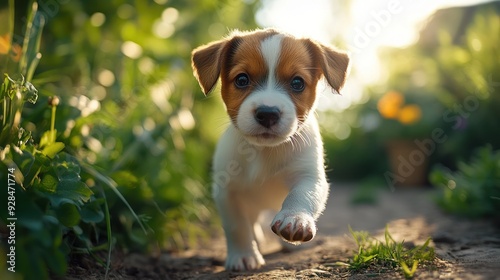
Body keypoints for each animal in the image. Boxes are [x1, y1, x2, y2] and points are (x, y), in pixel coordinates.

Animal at [191, 29, 352, 272]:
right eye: (242, 79)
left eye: (297, 83)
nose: (268, 113)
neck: (265, 151)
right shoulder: (226, 191)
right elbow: (237, 226)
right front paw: (243, 255)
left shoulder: (309, 176)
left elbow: (301, 195)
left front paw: (295, 219)